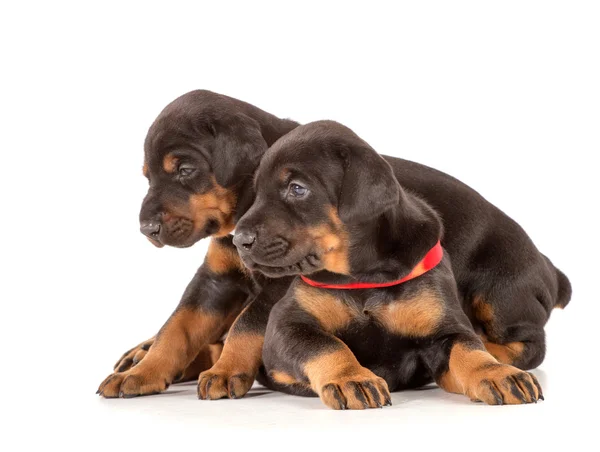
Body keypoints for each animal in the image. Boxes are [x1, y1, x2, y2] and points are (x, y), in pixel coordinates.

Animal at [233, 120, 572, 410]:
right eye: (257, 192)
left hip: (500, 294)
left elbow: (468, 348)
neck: (362, 276)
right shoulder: (287, 324)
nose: (239, 240)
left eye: (297, 188)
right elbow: (325, 343)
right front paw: (352, 378)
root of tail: (551, 269)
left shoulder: (443, 328)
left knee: (529, 343)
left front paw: (496, 373)